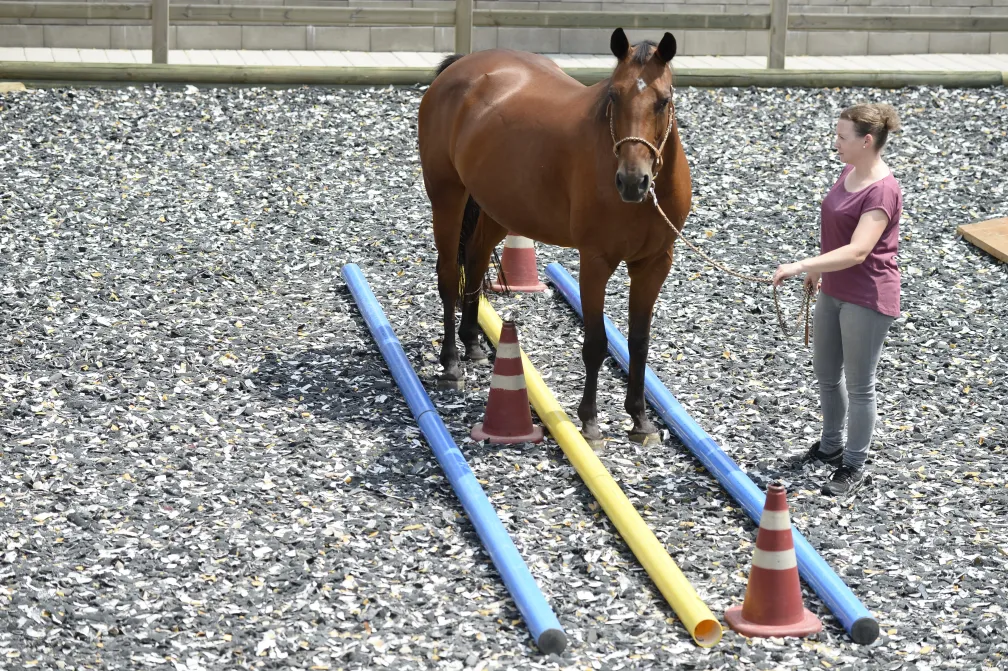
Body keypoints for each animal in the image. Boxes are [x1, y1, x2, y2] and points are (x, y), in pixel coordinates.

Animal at [416, 28, 691, 447]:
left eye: (664, 100)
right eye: (614, 95)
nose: (632, 181)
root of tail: (460, 67)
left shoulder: (654, 263)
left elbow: (639, 343)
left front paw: (640, 420)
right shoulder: (595, 262)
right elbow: (595, 343)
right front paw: (590, 423)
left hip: (499, 207)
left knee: (475, 261)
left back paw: (473, 343)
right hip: (447, 196)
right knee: (449, 275)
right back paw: (451, 363)